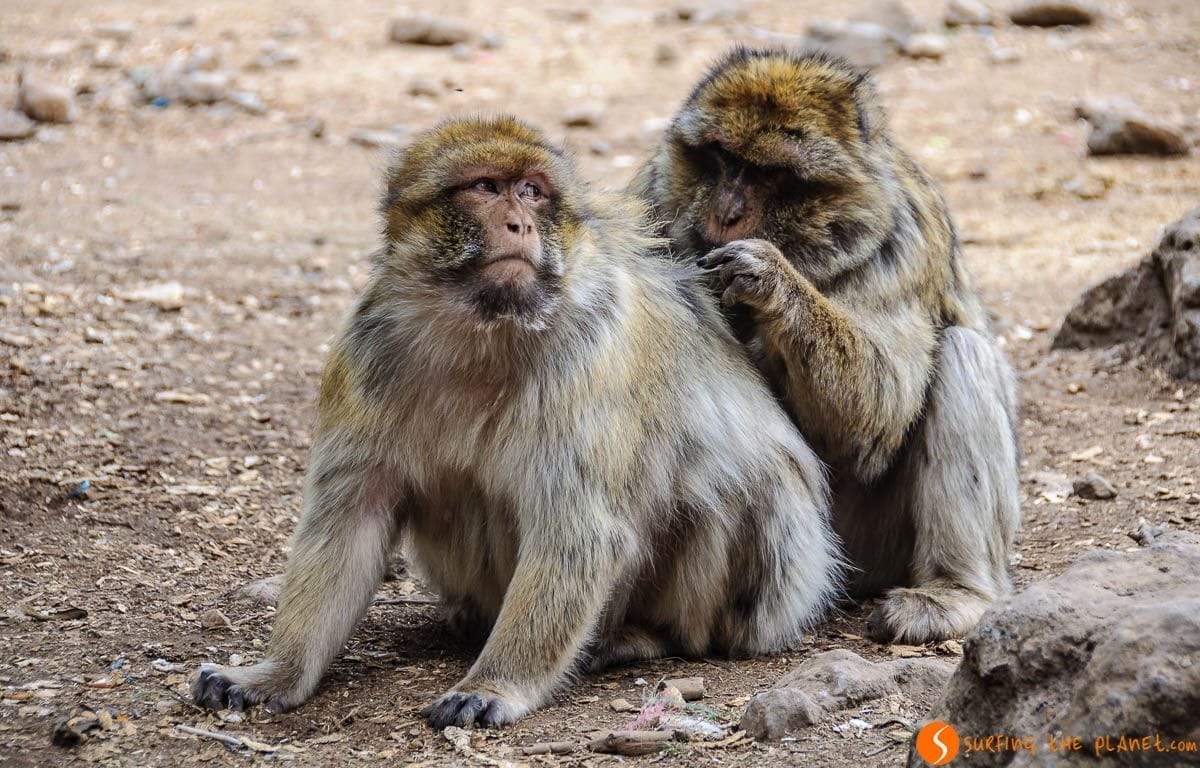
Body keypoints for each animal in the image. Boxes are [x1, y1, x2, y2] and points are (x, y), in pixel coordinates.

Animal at [192, 115, 842, 728]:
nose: (519, 225)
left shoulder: (590, 358)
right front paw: (274, 673)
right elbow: (352, 518)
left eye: (531, 192)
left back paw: (642, 637)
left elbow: (576, 530)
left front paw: (494, 686)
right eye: (486, 187)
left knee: (742, 485)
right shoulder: (365, 354)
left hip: (765, 600)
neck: (483, 330)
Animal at [631, 48, 1020, 645]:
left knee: (961, 353)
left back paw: (957, 593)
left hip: (868, 548)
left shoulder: (897, 241)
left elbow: (881, 415)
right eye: (720, 156)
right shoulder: (652, 201)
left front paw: (770, 281)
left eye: (769, 173)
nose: (725, 212)